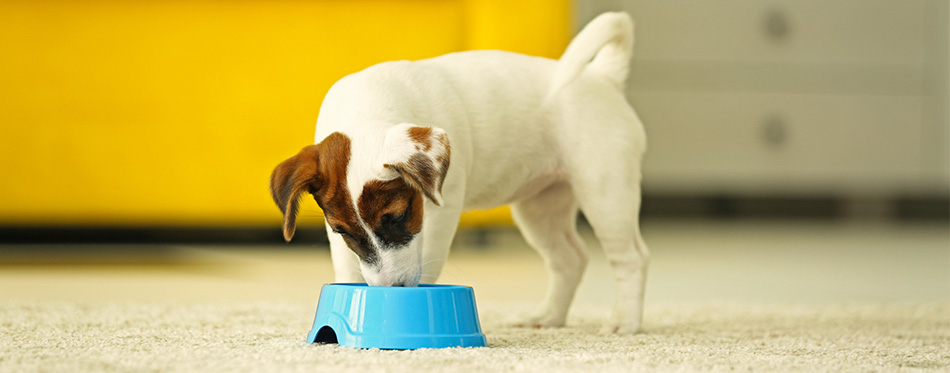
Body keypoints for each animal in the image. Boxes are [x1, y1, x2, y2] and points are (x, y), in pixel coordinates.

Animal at [272, 11, 652, 334]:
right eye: (341, 231)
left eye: (399, 216)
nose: (393, 288)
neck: (367, 109)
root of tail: (604, 77)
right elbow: (346, 264)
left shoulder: (441, 210)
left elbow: (429, 259)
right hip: (540, 208)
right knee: (569, 259)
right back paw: (549, 317)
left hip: (605, 193)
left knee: (631, 258)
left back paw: (624, 322)